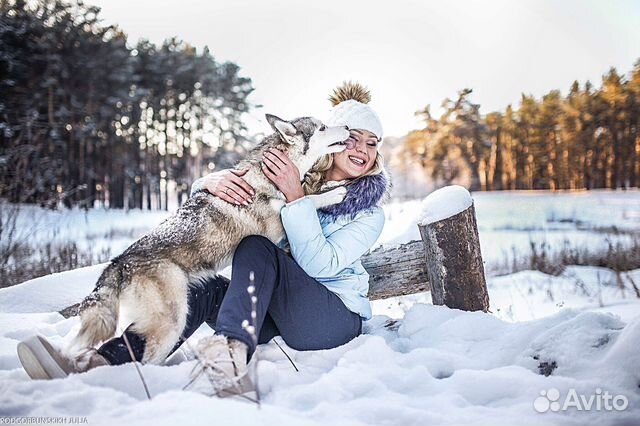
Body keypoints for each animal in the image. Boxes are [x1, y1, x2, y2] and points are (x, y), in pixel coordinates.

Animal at [71, 115, 350, 364]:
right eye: (323, 127)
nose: (347, 127)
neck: (269, 174)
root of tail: (119, 262)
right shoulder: (276, 224)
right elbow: (306, 199)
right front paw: (335, 193)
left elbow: (304, 193)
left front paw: (331, 186)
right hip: (171, 322)